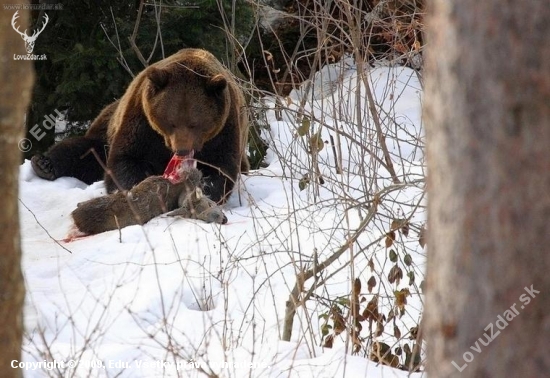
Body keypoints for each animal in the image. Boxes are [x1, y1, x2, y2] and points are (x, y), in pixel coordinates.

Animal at [31, 50, 251, 205]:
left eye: (195, 123)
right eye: (171, 122)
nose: (182, 150)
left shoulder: (224, 130)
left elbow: (220, 168)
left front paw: (202, 191)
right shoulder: (142, 121)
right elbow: (126, 158)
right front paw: (138, 188)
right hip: (107, 126)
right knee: (83, 151)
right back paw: (44, 164)